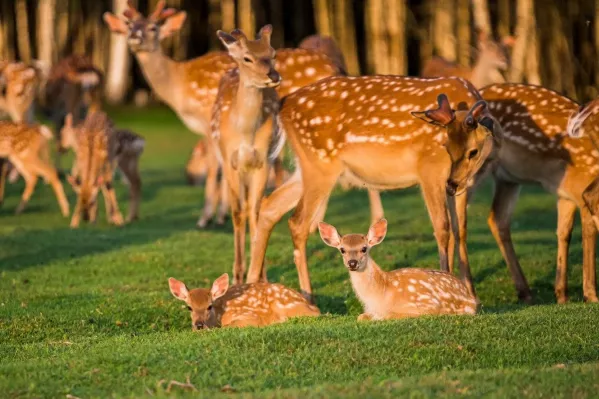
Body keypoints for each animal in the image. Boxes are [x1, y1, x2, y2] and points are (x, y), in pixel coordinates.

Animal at [318, 219, 478, 322]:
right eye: (342, 249)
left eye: (364, 248)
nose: (352, 263)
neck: (380, 296)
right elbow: (360, 317)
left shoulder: (427, 305)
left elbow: (389, 315)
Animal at [442, 83, 596, 304]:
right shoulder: (582, 188)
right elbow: (588, 232)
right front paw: (591, 295)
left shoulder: (566, 193)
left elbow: (564, 232)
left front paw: (562, 295)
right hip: (475, 174)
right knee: (457, 214)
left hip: (509, 178)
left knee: (496, 218)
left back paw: (524, 291)